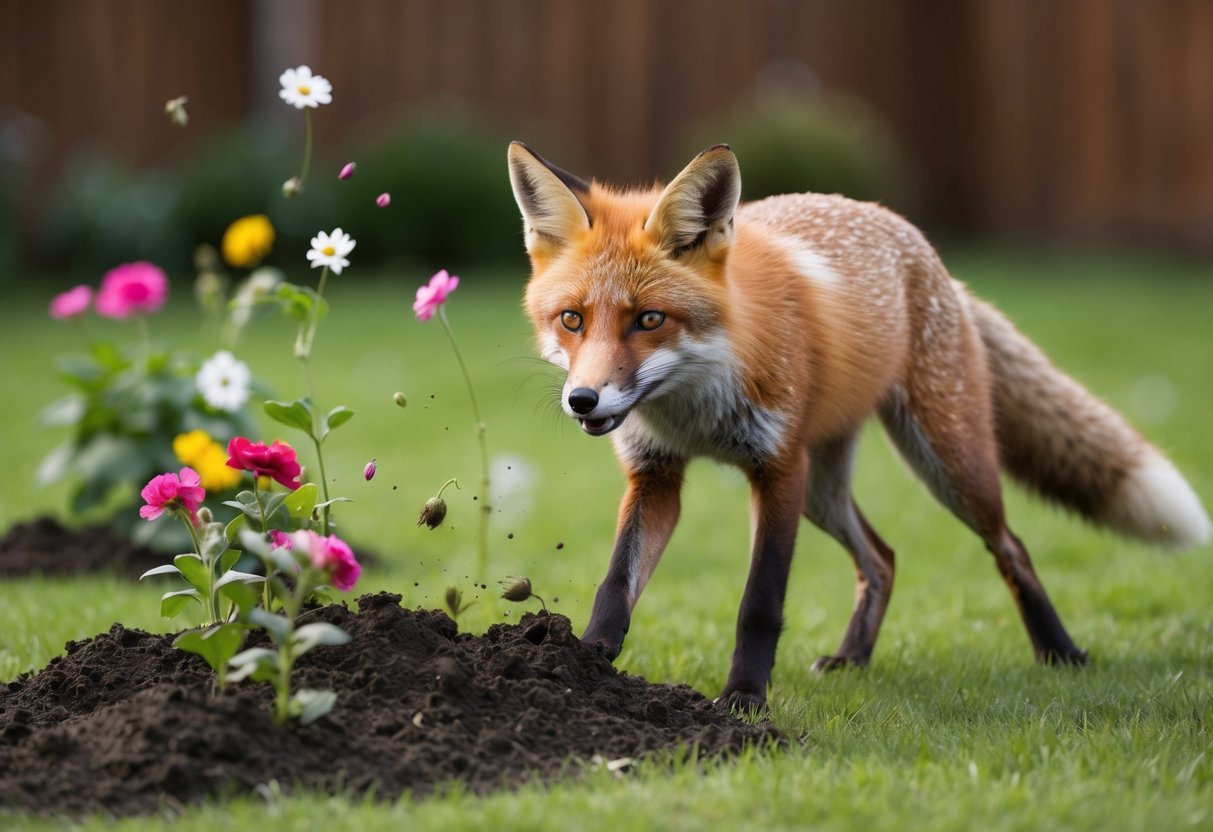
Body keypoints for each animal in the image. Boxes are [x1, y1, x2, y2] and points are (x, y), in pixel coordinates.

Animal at [506, 140, 1211, 711]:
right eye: (572, 320)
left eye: (649, 320)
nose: (583, 400)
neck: (695, 408)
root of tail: (927, 252)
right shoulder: (656, 474)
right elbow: (615, 585)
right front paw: (584, 662)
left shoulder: (777, 468)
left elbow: (760, 604)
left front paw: (744, 700)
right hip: (825, 490)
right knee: (884, 559)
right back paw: (854, 658)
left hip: (945, 463)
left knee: (1011, 546)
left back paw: (1059, 651)